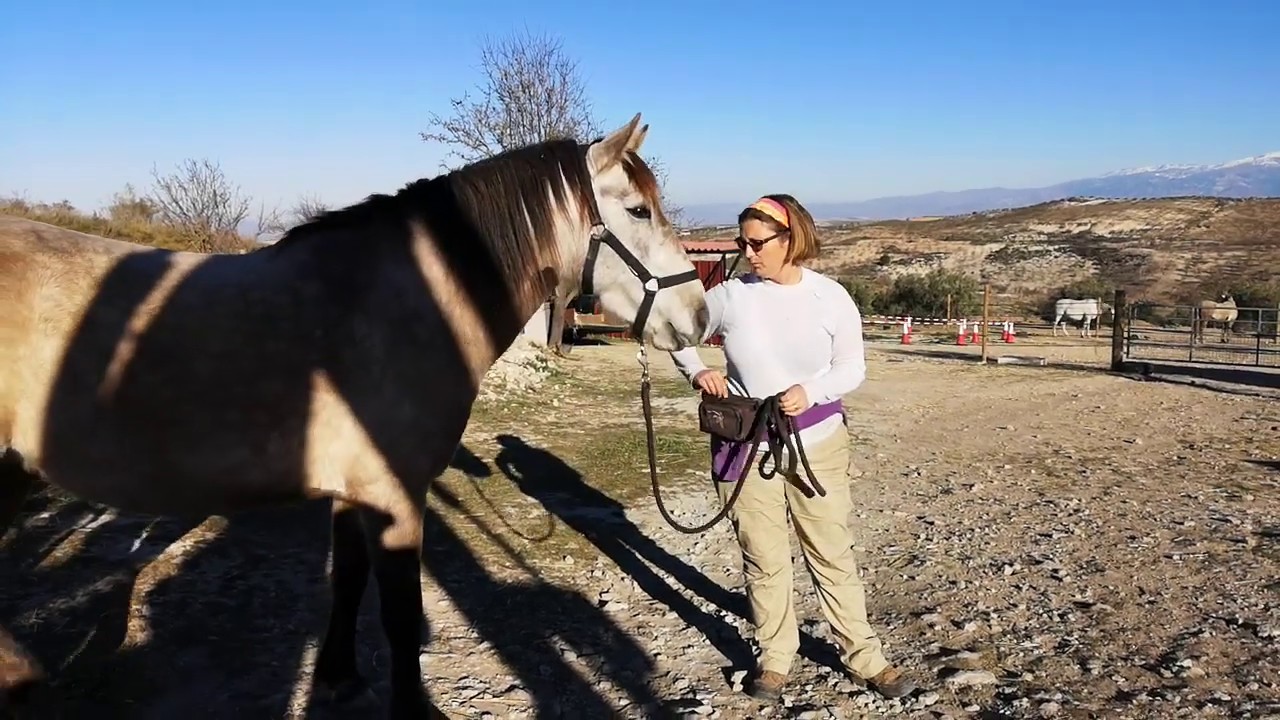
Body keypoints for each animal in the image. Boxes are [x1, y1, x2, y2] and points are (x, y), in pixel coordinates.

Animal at [0, 113, 709, 718]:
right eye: (638, 210)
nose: (700, 319)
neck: (407, 301)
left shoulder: (352, 491)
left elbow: (346, 582)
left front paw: (338, 679)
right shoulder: (394, 495)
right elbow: (398, 613)